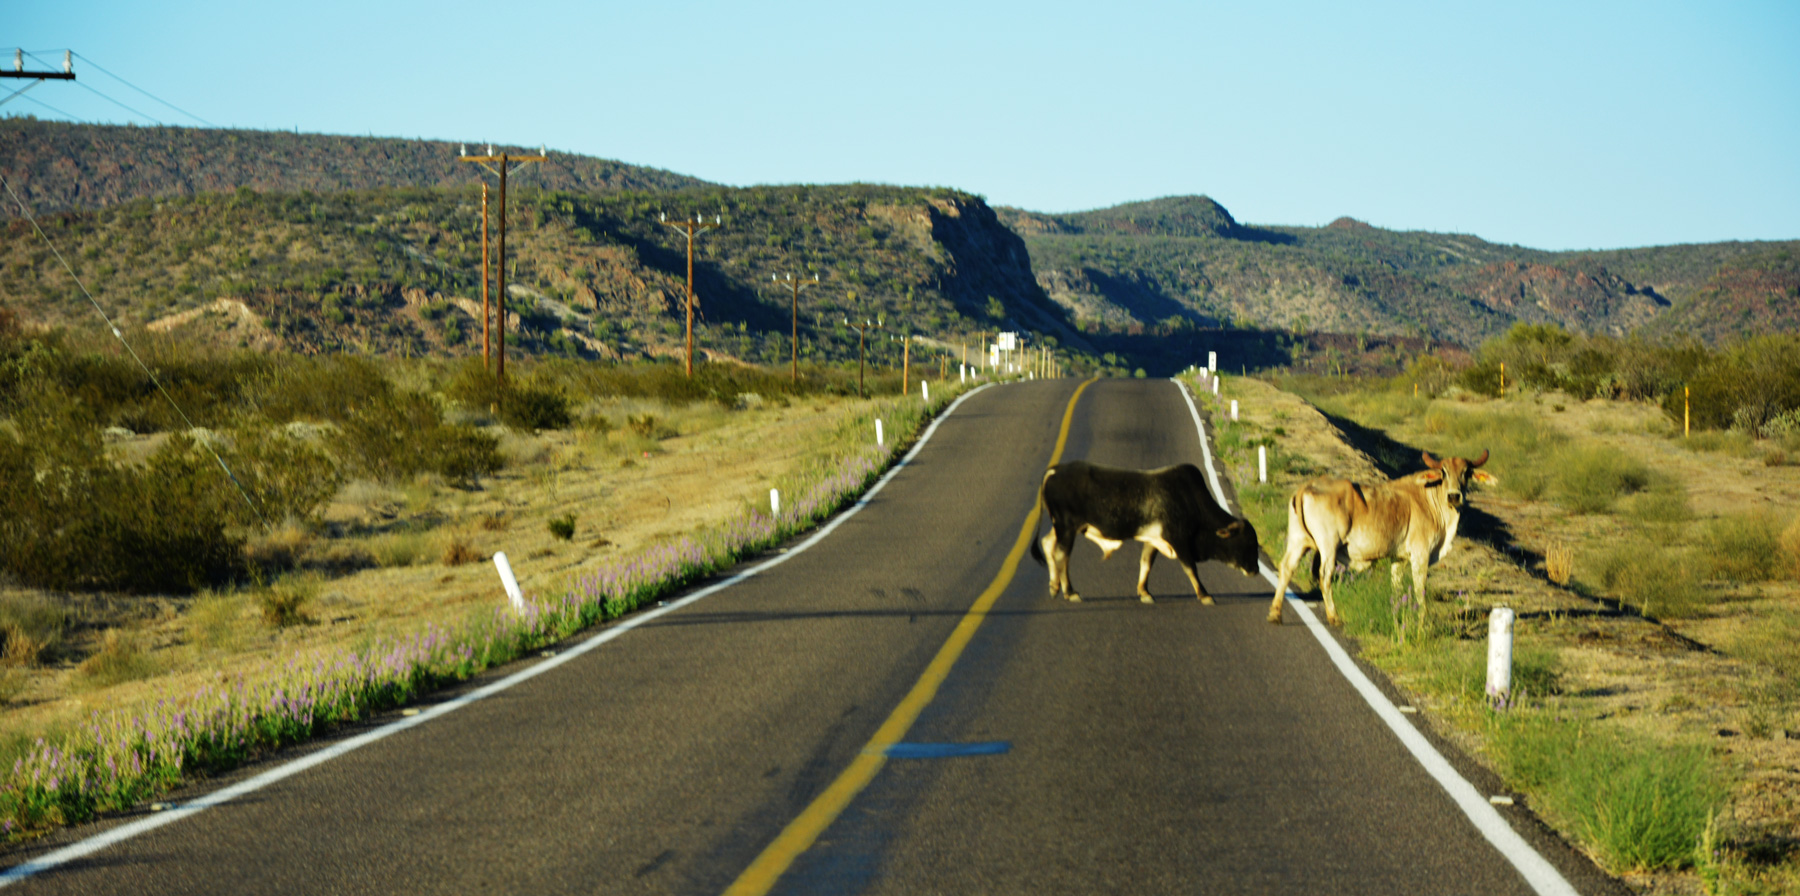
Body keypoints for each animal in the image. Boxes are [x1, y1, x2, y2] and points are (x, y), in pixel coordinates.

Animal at [1029, 460, 1261, 604]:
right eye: (1248, 543)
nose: (1255, 570)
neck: (1192, 502)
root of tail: (1055, 470)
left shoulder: (1153, 539)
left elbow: (1146, 563)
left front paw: (1144, 593)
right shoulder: (1179, 540)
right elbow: (1191, 569)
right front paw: (1205, 595)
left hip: (1061, 527)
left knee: (1047, 543)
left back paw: (1054, 587)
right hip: (1067, 528)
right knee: (1062, 555)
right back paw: (1069, 592)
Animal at [1268, 449, 1495, 626]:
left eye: (1467, 472)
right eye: (1444, 472)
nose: (1454, 496)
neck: (1430, 500)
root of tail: (1306, 487)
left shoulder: (1398, 559)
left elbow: (1397, 588)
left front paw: (1397, 615)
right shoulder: (1420, 555)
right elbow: (1420, 589)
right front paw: (1423, 621)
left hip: (1298, 542)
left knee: (1286, 568)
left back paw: (1275, 614)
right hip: (1328, 547)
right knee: (1324, 576)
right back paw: (1334, 617)